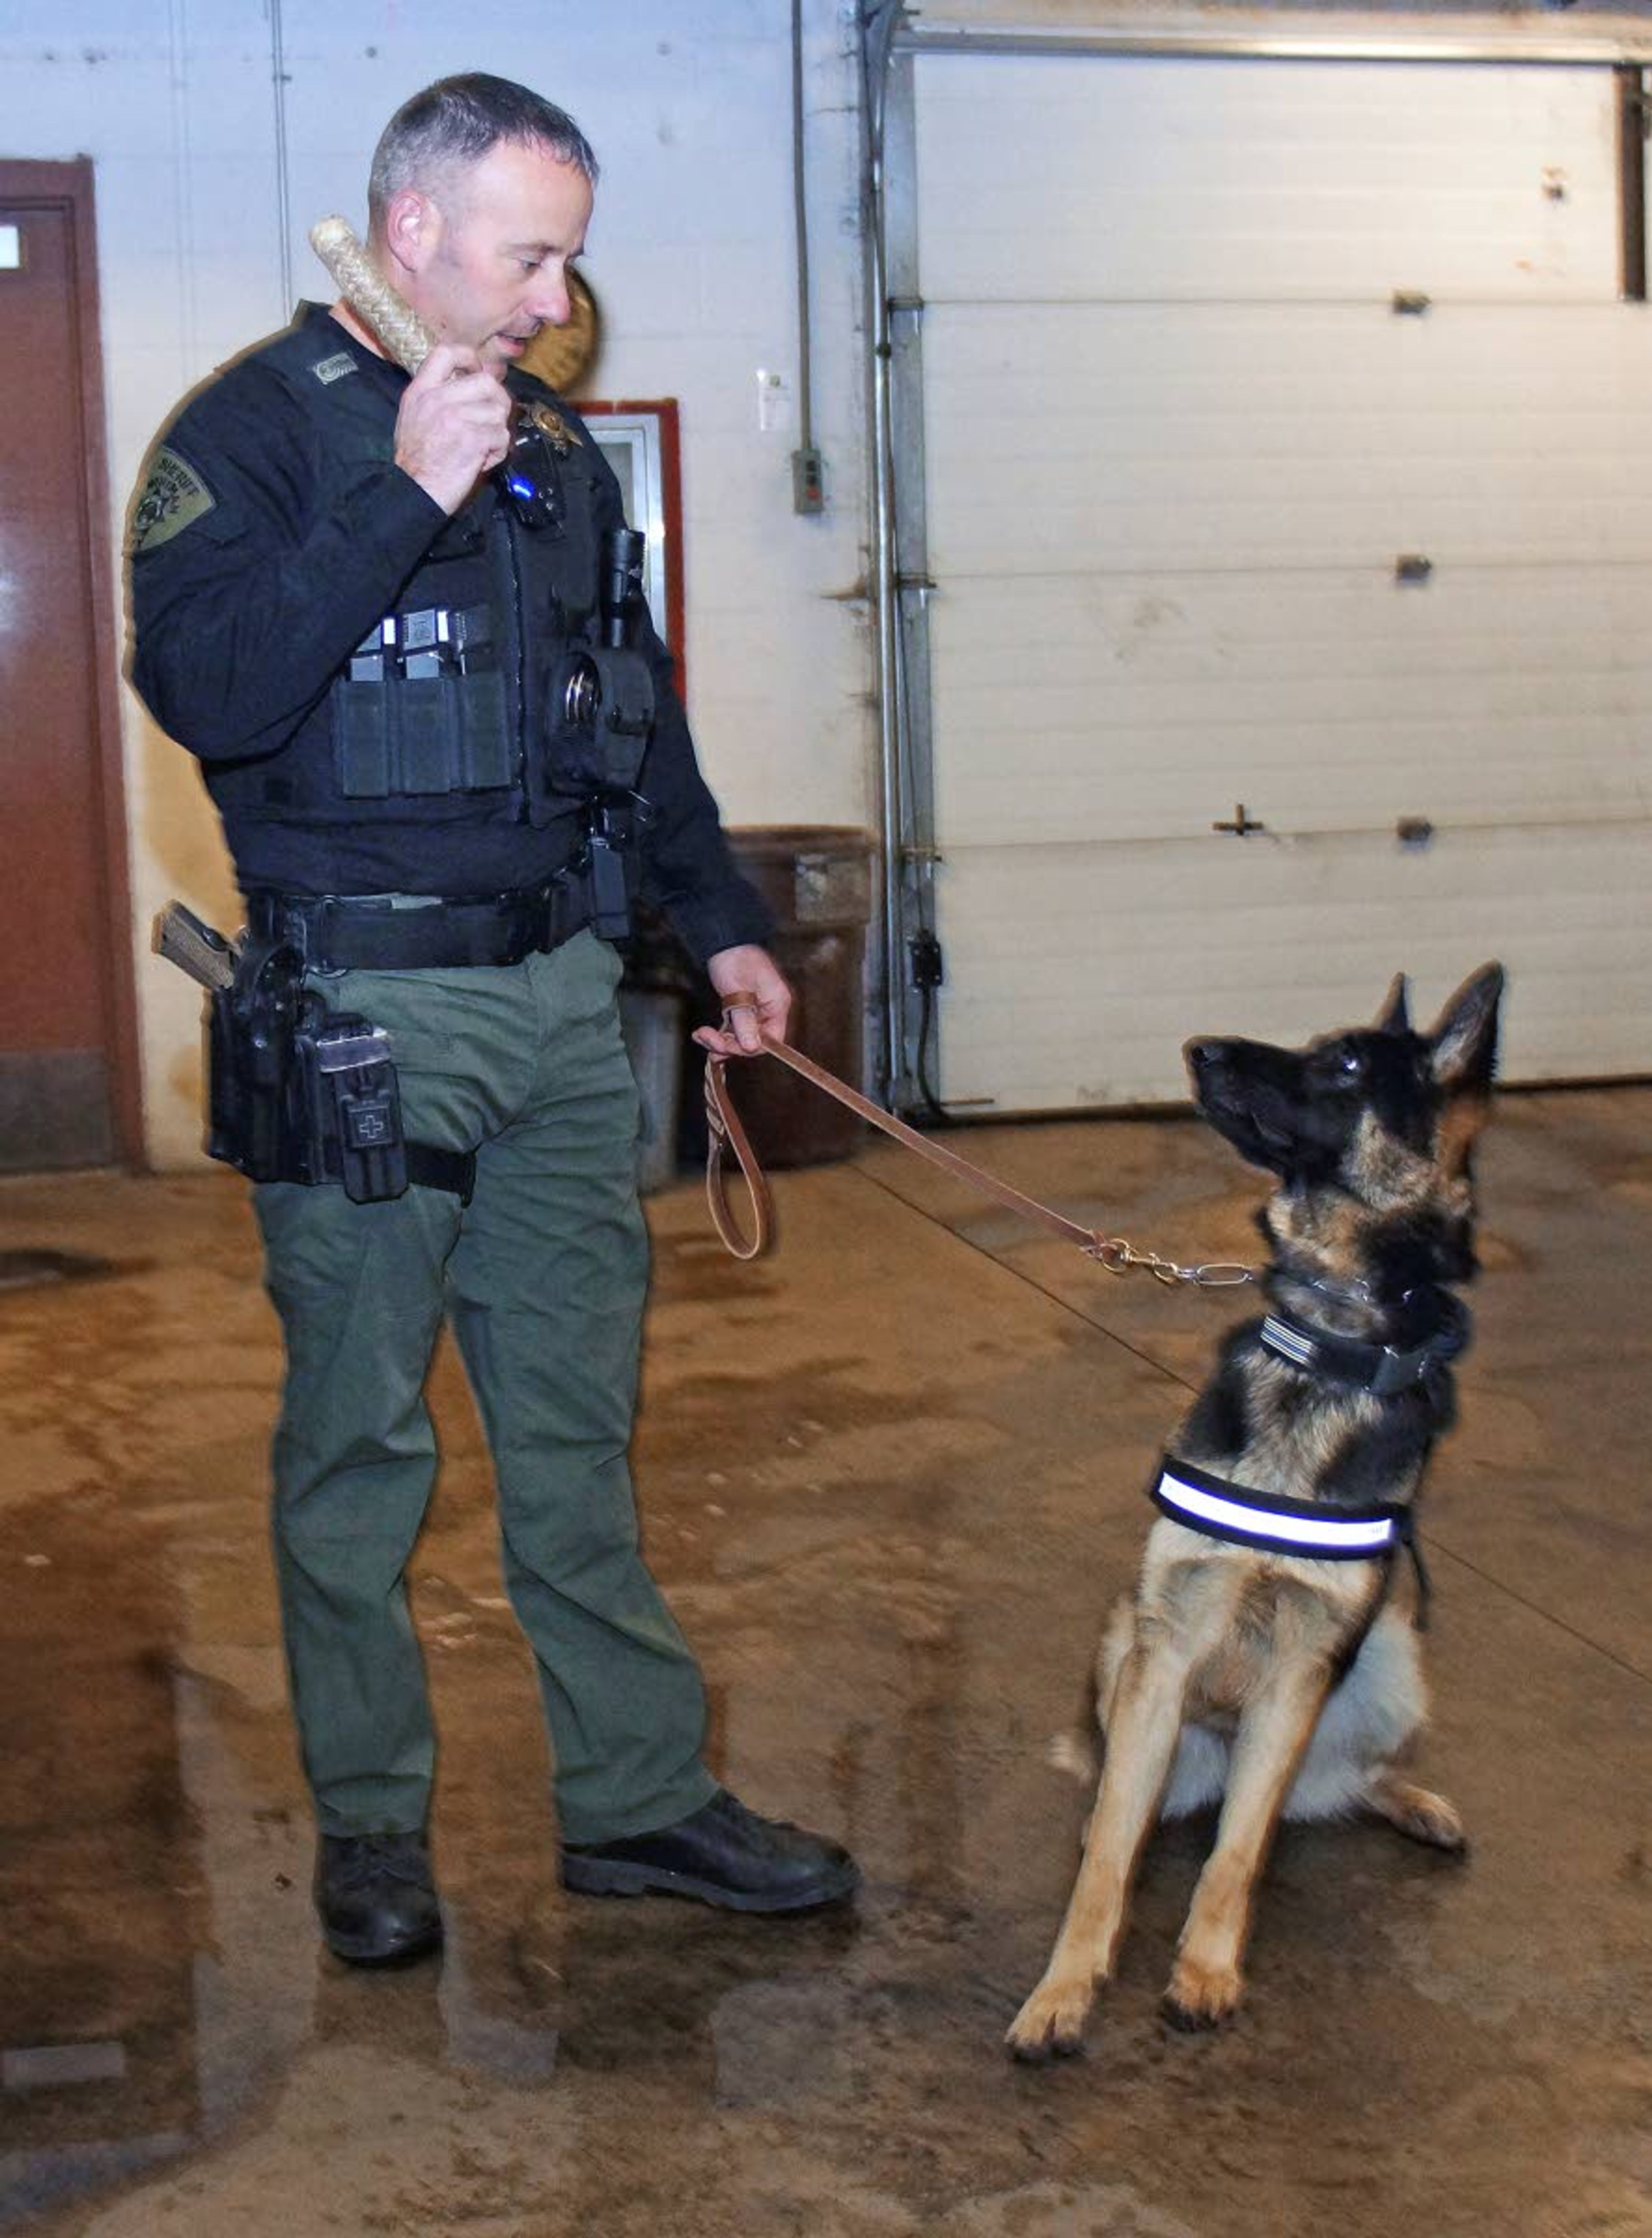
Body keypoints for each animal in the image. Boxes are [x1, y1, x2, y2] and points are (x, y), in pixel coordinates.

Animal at [998, 962, 1495, 2059]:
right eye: (1318, 1044)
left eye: (1346, 1063)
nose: (1200, 1048)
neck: (1327, 1350)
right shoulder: (1166, 1645)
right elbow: (1108, 1866)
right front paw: (1063, 1988)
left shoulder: (1303, 1669)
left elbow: (1238, 1853)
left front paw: (1207, 1970)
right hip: (1124, 1638)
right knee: (1134, 1800)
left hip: (1391, 1657)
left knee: (1322, 1787)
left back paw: (1411, 1799)